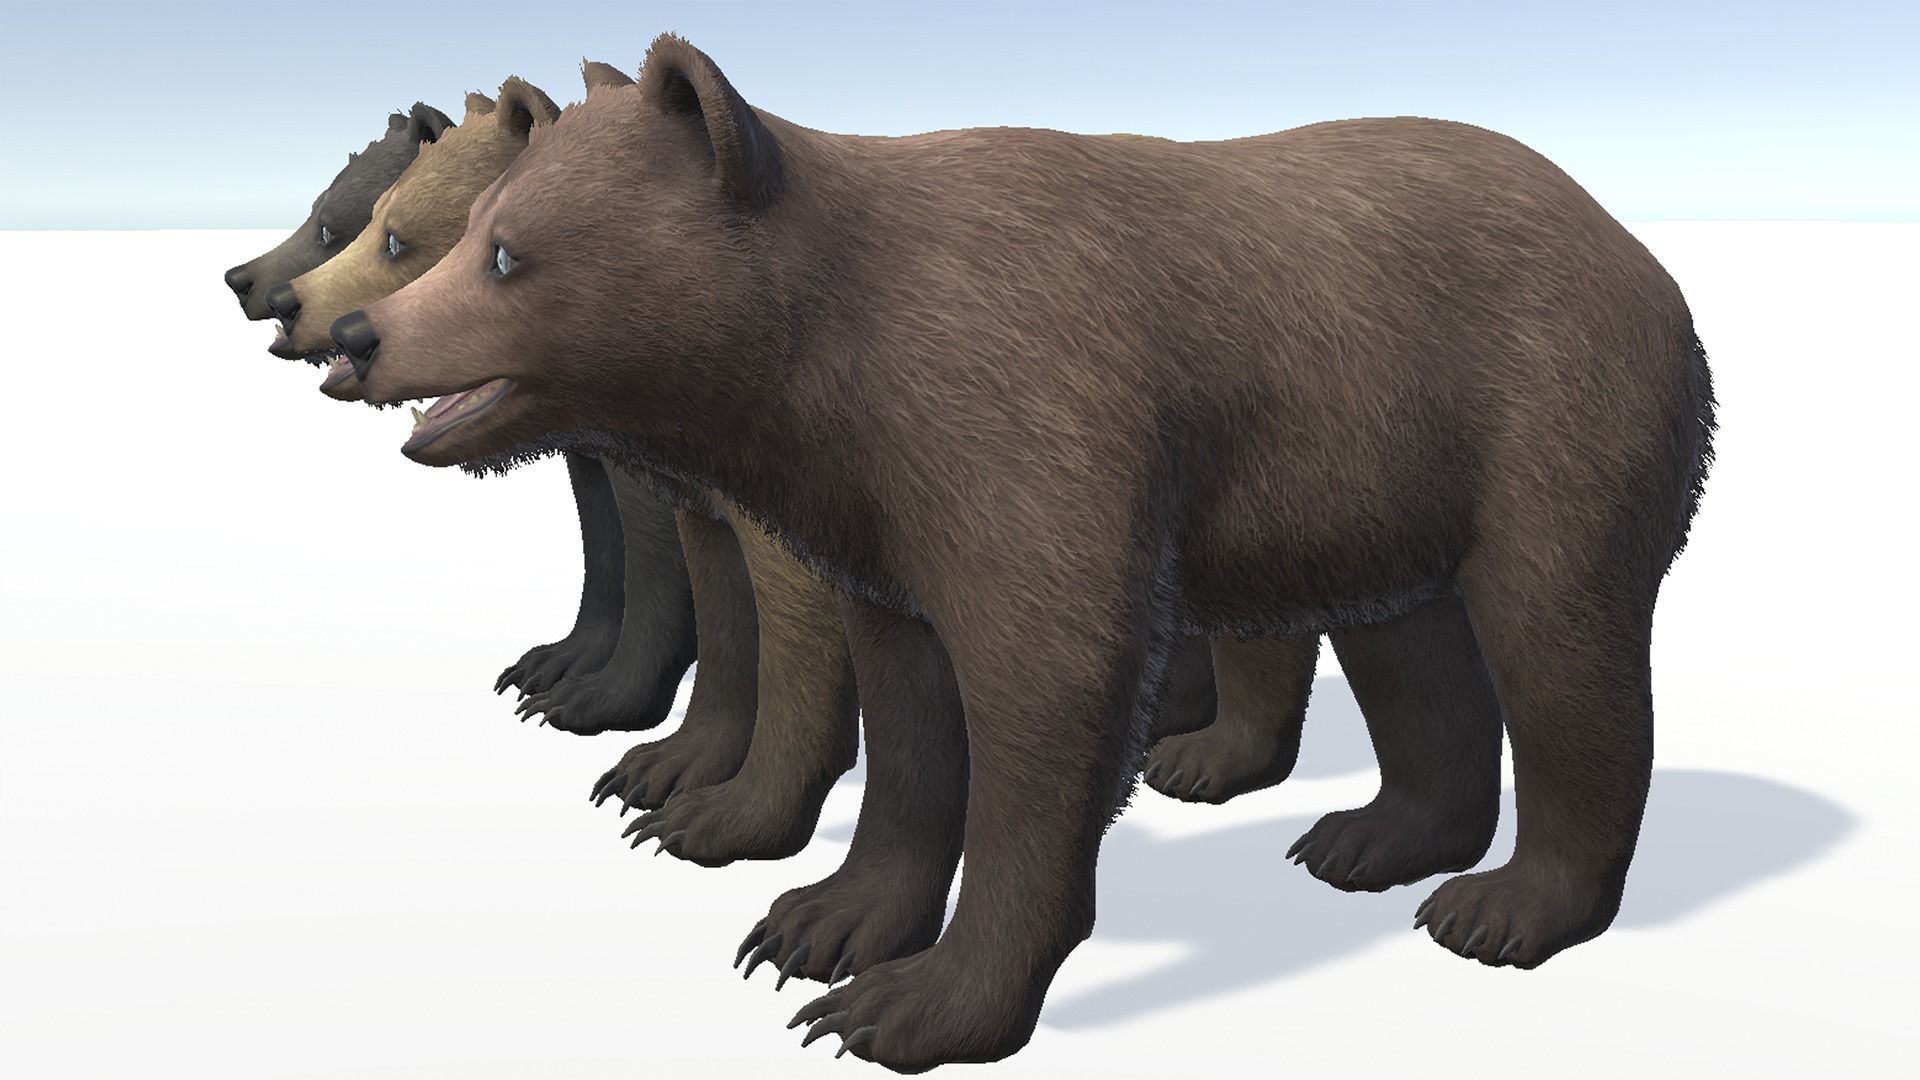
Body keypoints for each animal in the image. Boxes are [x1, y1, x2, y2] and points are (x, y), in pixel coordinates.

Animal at [340, 33, 1717, 1070]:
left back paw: (1510, 904)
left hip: (1550, 411)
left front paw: (918, 1002)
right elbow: (906, 709)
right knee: (1410, 645)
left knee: (1557, 637)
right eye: (471, 229)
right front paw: (820, 922)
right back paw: (1377, 838)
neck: (830, 363)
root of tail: (1641, 250)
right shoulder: (880, 516)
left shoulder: (1026, 417)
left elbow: (1046, 690)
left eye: (499, 251)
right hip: (1377, 473)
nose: (359, 334)